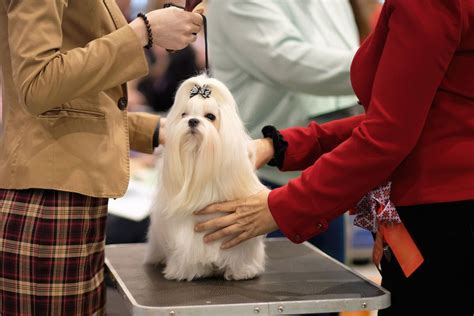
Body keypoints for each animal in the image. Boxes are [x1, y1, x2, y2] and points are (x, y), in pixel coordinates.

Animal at [144, 74, 266, 282]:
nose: (192, 121)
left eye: (210, 117)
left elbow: (240, 253)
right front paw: (187, 271)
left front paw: (242, 270)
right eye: (184, 114)